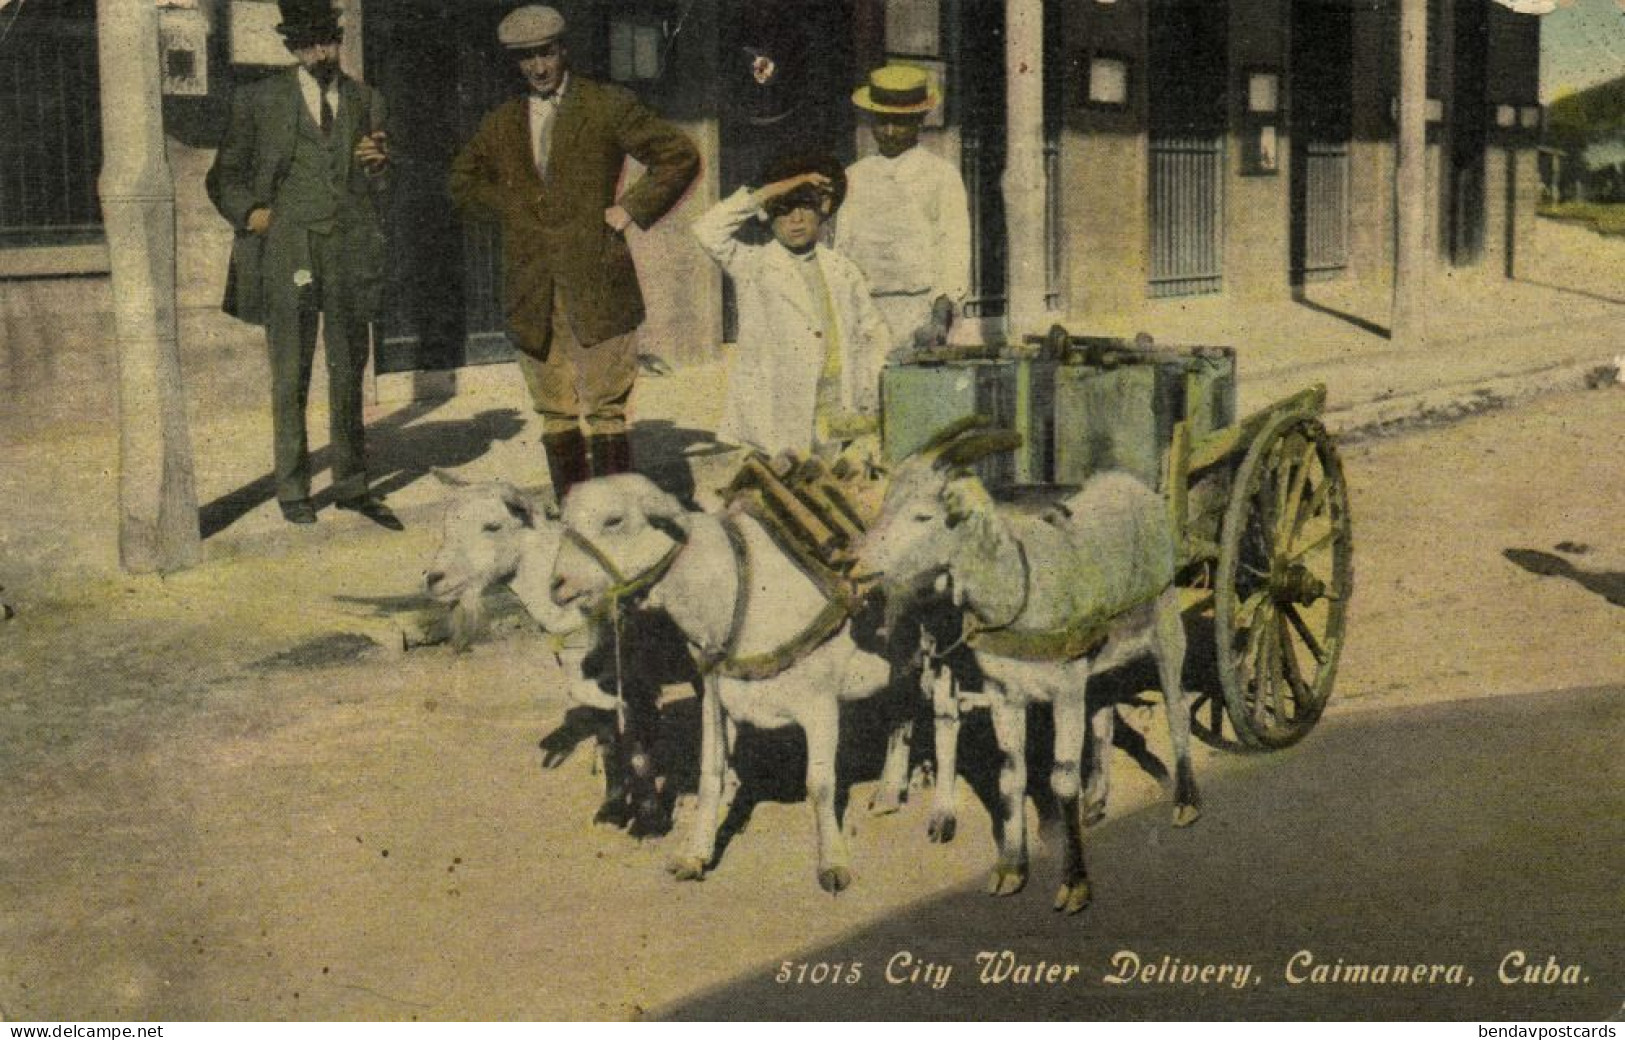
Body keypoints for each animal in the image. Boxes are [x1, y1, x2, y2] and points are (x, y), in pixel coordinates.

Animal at [549, 474, 916, 890]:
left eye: (614, 520)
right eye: (563, 522)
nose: (557, 585)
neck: (736, 588)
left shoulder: (819, 703)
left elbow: (820, 784)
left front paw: (832, 863)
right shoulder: (714, 695)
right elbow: (710, 775)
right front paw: (694, 854)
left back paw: (890, 790)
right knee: (902, 714)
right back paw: (889, 790)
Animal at [858, 422, 1202, 910]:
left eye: (924, 517)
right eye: (888, 502)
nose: (858, 560)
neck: (1021, 587)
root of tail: (1135, 485)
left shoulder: (1065, 689)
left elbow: (1061, 779)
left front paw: (1074, 883)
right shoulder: (1004, 693)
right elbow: (1010, 775)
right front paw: (1010, 868)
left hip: (1167, 621)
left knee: (1177, 709)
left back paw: (1185, 801)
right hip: (1103, 658)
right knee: (1104, 717)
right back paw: (1097, 801)